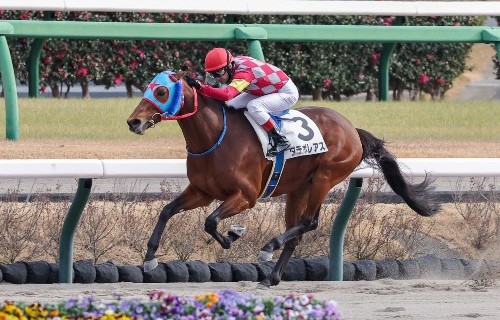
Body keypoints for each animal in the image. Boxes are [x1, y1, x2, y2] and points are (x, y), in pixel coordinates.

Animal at [127, 68, 440, 288]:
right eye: (149, 88)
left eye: (162, 91)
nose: (133, 121)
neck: (215, 136)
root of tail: (352, 129)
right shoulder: (201, 192)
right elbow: (167, 211)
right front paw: (150, 259)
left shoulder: (246, 196)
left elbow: (211, 221)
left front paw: (232, 235)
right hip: (299, 188)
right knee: (296, 231)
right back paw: (271, 277)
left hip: (325, 177)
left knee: (308, 222)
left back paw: (268, 248)